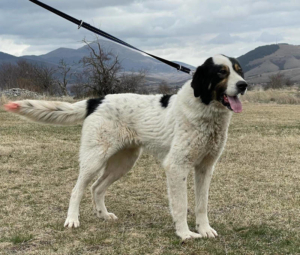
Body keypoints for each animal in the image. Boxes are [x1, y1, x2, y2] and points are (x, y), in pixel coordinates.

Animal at [4, 54, 247, 240]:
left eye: (239, 71)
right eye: (221, 72)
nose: (244, 85)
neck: (205, 110)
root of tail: (96, 101)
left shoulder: (205, 168)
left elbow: (201, 204)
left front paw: (204, 230)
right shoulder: (176, 167)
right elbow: (180, 205)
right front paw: (185, 234)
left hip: (123, 163)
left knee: (97, 188)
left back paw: (103, 215)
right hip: (95, 159)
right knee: (77, 189)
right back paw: (72, 219)